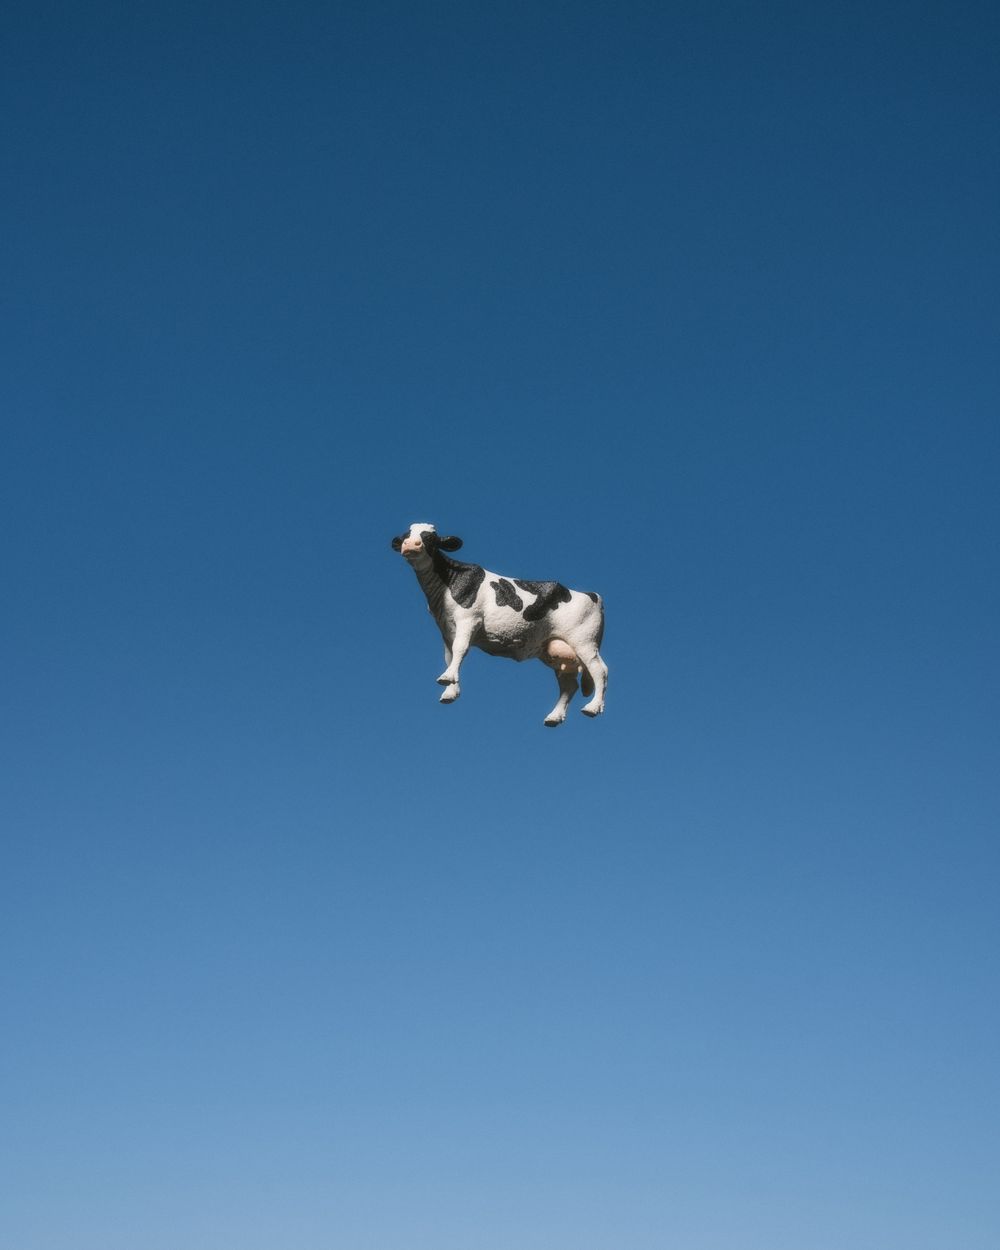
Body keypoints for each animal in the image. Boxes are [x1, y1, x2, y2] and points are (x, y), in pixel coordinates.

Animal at [391, 522, 607, 726]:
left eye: (431, 538)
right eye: (406, 535)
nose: (410, 544)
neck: (447, 584)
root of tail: (592, 595)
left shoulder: (469, 619)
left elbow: (461, 648)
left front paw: (446, 679)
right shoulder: (446, 630)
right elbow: (450, 656)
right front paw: (450, 691)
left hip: (584, 641)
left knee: (599, 670)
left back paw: (592, 707)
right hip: (555, 650)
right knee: (569, 685)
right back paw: (554, 717)